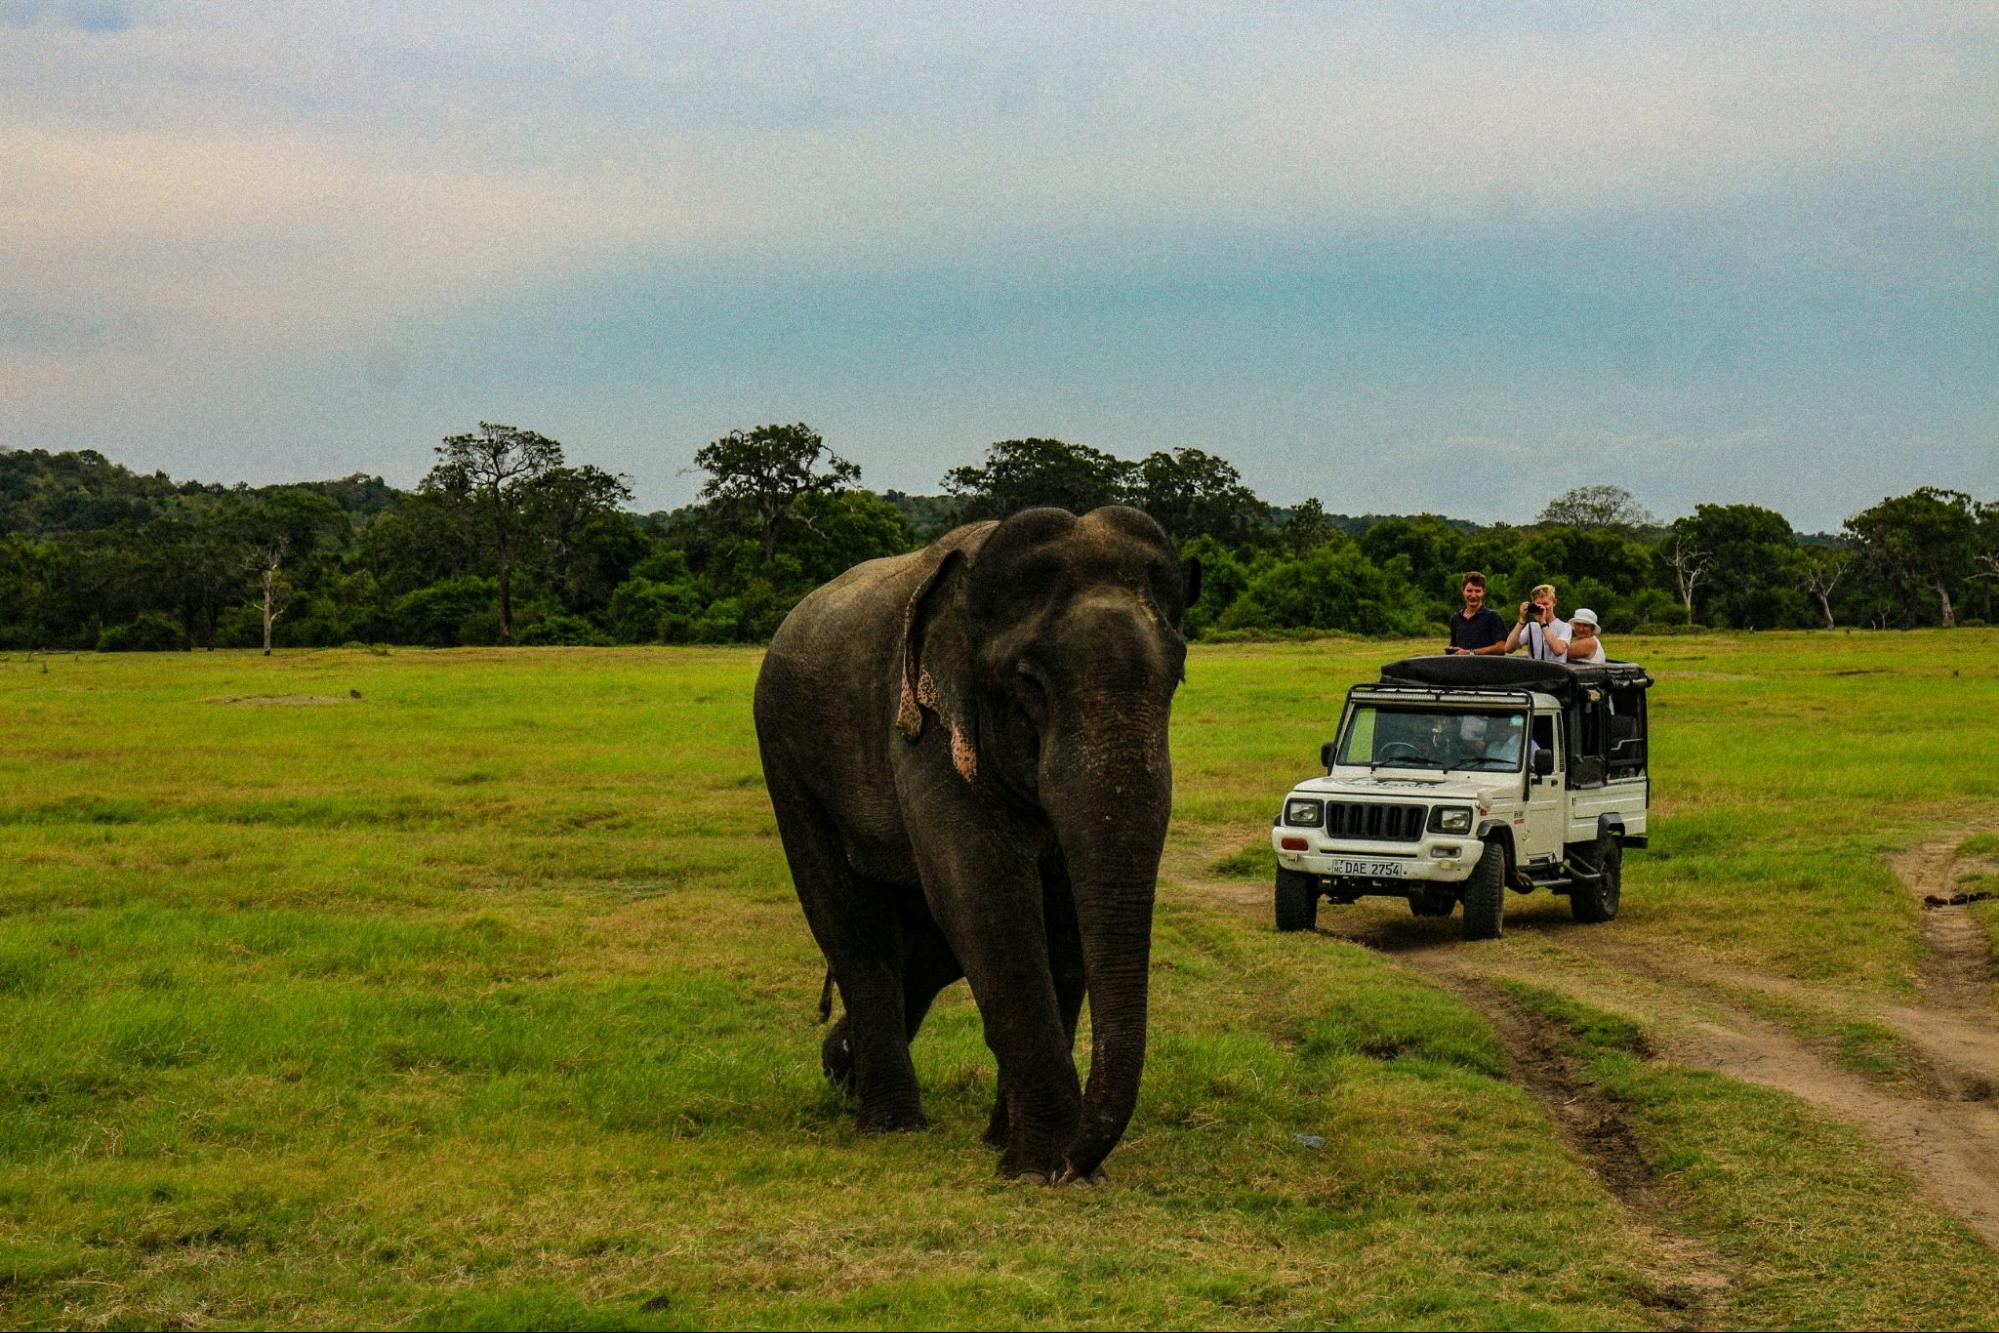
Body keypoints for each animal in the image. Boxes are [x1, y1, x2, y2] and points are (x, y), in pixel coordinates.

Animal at [753, 506, 1198, 1182]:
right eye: (1030, 682)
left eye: (1177, 677)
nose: (1079, 1163)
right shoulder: (925, 727)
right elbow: (984, 895)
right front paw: (1040, 1168)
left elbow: (1060, 918)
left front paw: (1018, 1151)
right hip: (786, 758)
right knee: (856, 930)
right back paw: (890, 1123)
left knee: (923, 949)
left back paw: (842, 1069)